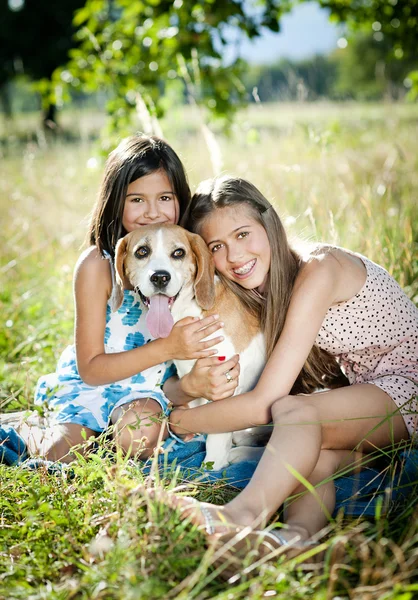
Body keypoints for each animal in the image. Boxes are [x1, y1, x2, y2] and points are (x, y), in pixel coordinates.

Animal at [110, 223, 268, 472]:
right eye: (142, 251)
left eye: (178, 253)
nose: (160, 277)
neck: (190, 311)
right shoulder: (192, 379)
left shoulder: (226, 383)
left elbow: (216, 435)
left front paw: (212, 467)